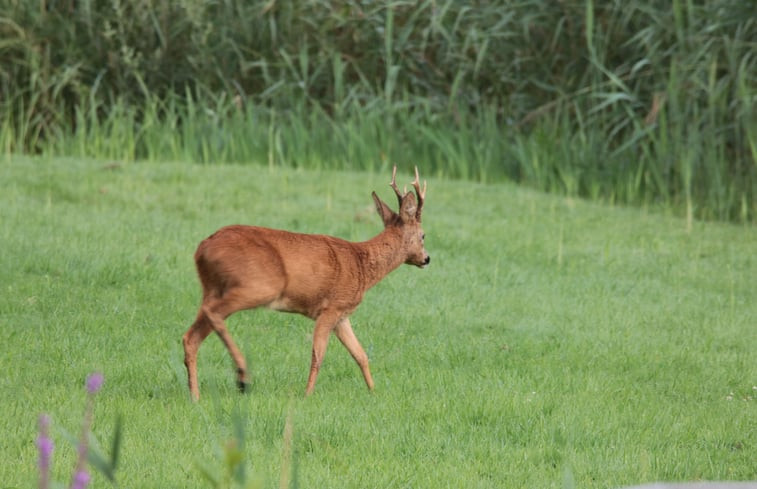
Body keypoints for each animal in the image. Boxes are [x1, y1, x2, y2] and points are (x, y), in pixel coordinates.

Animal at [181, 166, 428, 398]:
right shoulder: (330, 308)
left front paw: (373, 392)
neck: (363, 266)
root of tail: (202, 249)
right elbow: (318, 354)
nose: (427, 259)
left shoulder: (342, 315)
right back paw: (242, 376)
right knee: (212, 313)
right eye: (424, 235)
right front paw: (307, 394)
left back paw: (195, 395)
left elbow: (361, 355)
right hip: (259, 286)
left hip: (212, 287)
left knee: (191, 336)